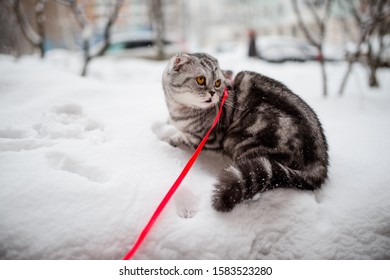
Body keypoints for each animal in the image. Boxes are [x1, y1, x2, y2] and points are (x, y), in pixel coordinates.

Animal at [157, 52, 328, 212]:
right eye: (200, 80)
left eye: (217, 83)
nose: (213, 93)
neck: (179, 109)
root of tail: (320, 162)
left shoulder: (204, 138)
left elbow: (178, 138)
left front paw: (164, 137)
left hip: (247, 141)